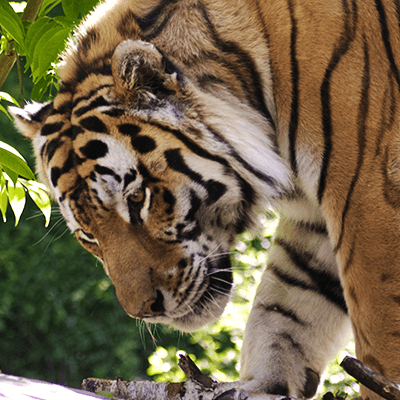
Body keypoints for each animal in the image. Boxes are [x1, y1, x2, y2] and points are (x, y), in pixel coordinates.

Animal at [9, 0, 400, 398]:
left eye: (136, 199)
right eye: (87, 234)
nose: (145, 310)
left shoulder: (371, 200)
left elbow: (381, 341)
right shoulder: (317, 223)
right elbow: (286, 308)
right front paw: (260, 384)